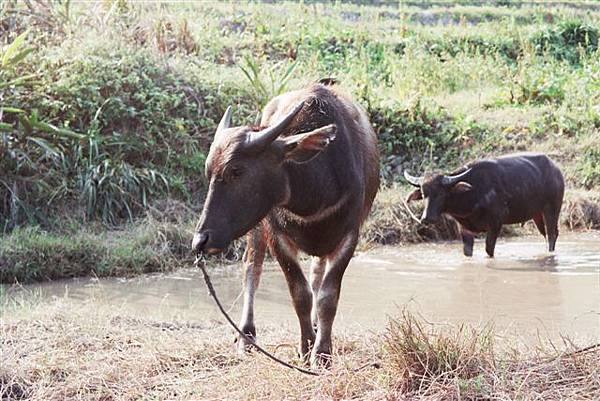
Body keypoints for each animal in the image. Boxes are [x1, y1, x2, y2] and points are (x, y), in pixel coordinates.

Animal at [192, 81, 380, 366]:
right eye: (209, 172)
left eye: (236, 170)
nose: (200, 240)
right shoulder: (276, 236)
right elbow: (300, 294)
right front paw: (306, 347)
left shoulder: (349, 236)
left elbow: (327, 296)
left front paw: (322, 352)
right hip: (257, 227)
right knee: (252, 268)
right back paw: (246, 335)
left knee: (316, 272)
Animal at [406, 153, 564, 256]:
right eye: (423, 193)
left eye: (441, 194)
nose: (426, 218)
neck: (472, 194)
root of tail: (556, 170)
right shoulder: (465, 229)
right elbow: (467, 252)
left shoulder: (496, 223)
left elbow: (489, 250)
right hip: (537, 214)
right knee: (545, 235)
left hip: (552, 209)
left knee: (551, 234)